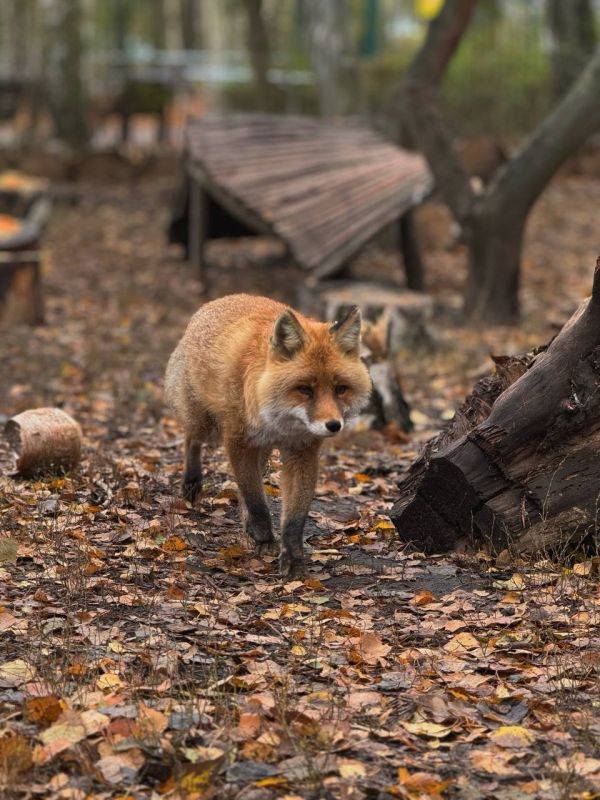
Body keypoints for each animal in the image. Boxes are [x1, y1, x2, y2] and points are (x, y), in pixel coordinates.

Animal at [164, 294, 370, 576]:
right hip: (205, 423)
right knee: (191, 440)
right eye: (304, 389)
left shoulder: (302, 451)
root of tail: (219, 300)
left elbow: (294, 516)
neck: (278, 423)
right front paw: (264, 539)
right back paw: (192, 484)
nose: (333, 425)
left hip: (260, 449)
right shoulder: (238, 442)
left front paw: (292, 558)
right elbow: (256, 500)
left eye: (340, 389)